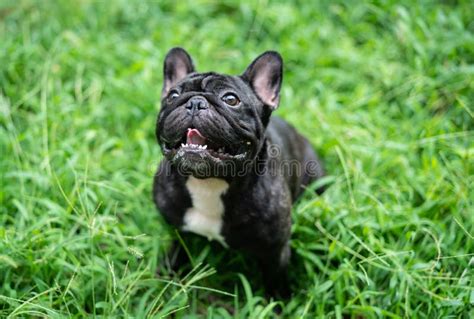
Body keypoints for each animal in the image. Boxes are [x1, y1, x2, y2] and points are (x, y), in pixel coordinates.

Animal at [154, 47, 324, 298]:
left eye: (230, 99)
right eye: (173, 96)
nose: (195, 102)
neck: (209, 182)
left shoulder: (275, 250)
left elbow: (275, 280)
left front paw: (279, 301)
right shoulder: (177, 229)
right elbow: (177, 250)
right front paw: (168, 274)